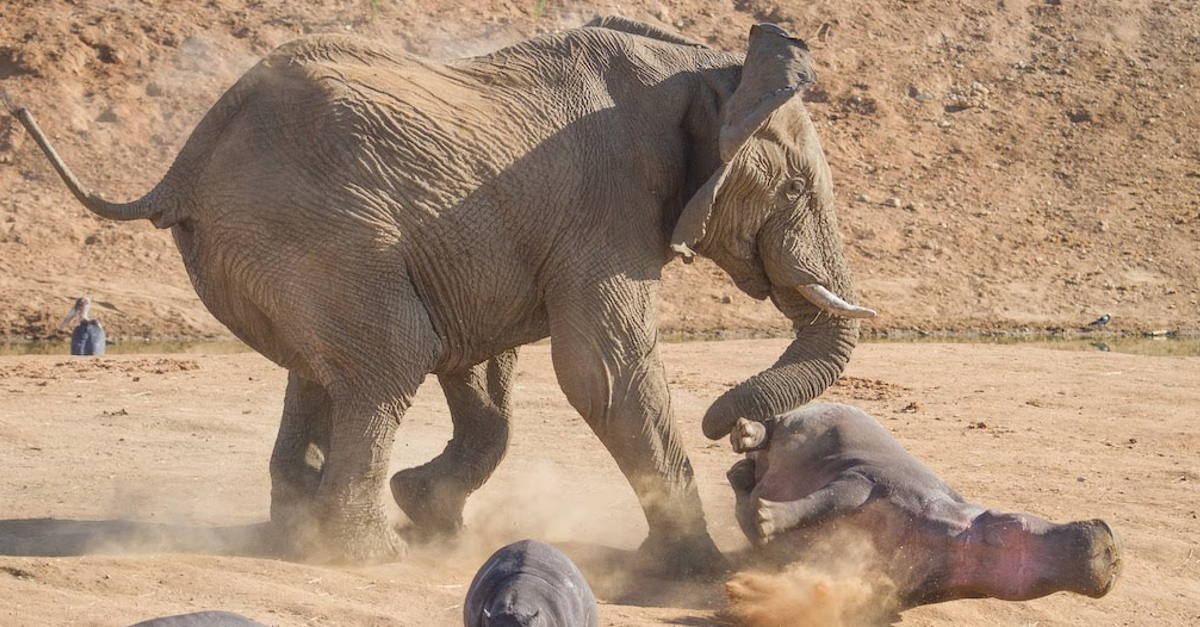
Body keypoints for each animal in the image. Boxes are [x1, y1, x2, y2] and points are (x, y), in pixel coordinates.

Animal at [11, 14, 873, 571]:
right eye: (795, 189)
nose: (739, 432)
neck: (708, 68)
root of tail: (185, 163)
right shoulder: (609, 206)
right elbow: (601, 371)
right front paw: (699, 570)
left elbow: (485, 370)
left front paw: (432, 513)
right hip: (316, 228)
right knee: (390, 357)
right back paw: (366, 556)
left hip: (275, 246)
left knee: (323, 371)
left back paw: (300, 538)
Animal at [720, 401, 1123, 605]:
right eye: (1013, 523)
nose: (1112, 545)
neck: (955, 536)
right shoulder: (869, 479)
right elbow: (826, 501)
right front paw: (766, 519)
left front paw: (761, 522)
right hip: (805, 419)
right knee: (769, 427)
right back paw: (743, 431)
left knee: (742, 475)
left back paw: (743, 472)